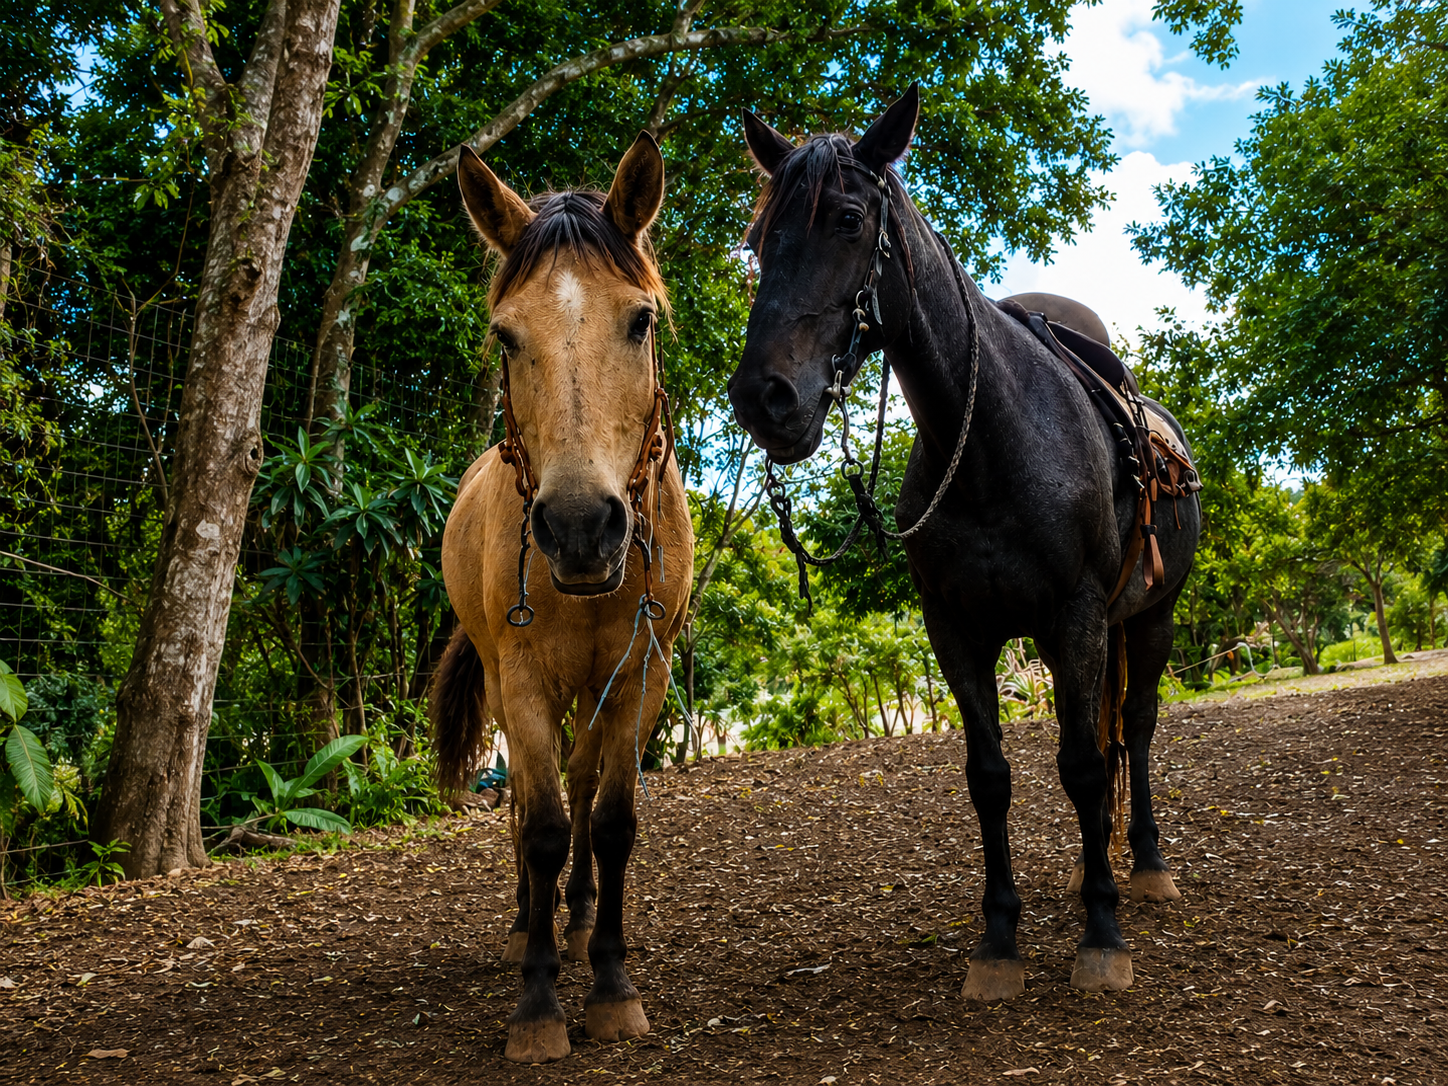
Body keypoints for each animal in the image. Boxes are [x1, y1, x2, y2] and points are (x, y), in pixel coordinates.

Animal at [430, 131, 692, 1063]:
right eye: (505, 336)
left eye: (640, 320)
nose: (581, 528)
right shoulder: (524, 679)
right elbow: (540, 825)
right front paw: (538, 1003)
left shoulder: (642, 672)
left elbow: (610, 820)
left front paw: (611, 983)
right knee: (524, 804)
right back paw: (528, 924)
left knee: (580, 782)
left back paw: (576, 920)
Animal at [726, 86, 1202, 1001]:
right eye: (762, 239)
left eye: (847, 219)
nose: (763, 398)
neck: (989, 439)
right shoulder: (957, 631)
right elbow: (991, 777)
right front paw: (999, 939)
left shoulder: (1077, 616)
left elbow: (1083, 765)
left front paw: (1101, 934)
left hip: (1147, 619)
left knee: (1136, 728)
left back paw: (1146, 865)